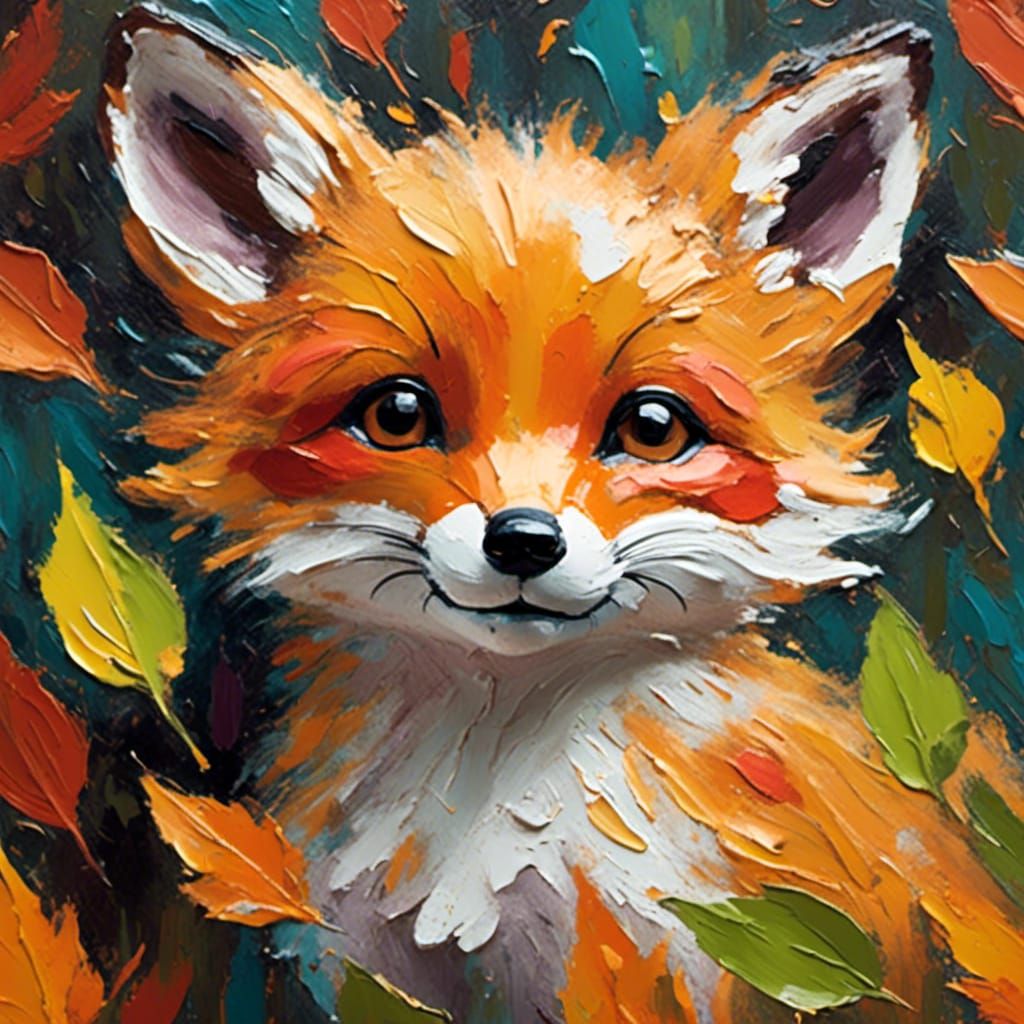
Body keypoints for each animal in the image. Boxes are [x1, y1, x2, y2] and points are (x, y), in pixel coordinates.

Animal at [97, 8, 1024, 1023]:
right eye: (397, 414)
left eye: (653, 428)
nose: (523, 541)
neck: (496, 799)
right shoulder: (375, 968)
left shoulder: (682, 964)